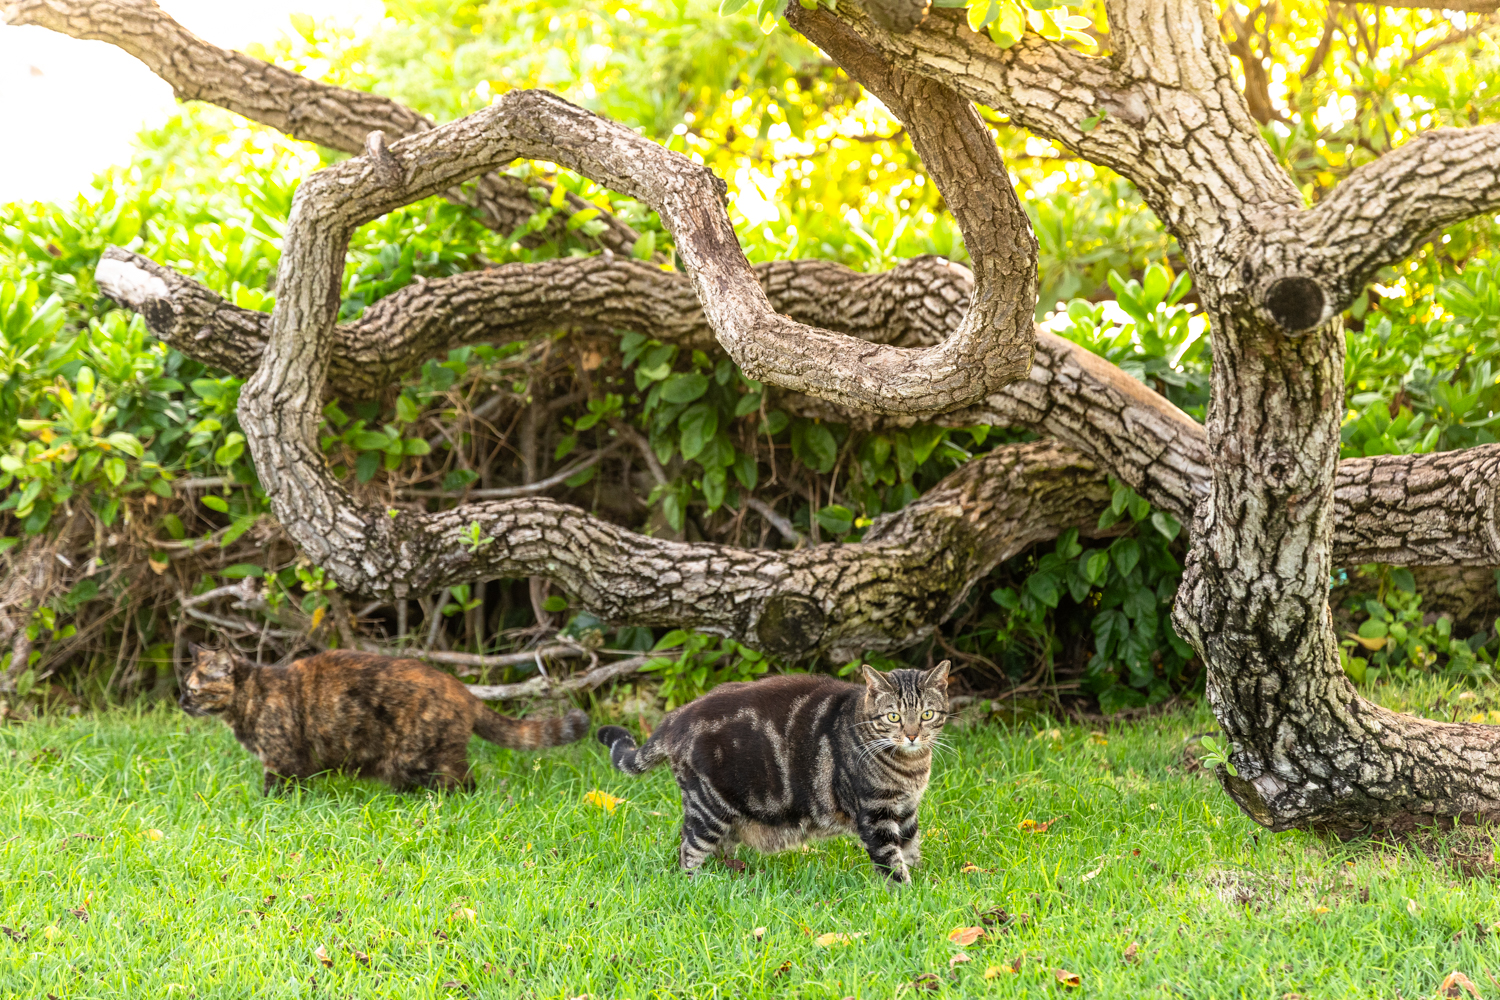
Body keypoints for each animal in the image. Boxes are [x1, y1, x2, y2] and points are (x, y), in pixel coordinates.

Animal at [178, 650, 588, 797]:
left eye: (194, 690)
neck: (251, 696)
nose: (180, 702)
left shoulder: (280, 759)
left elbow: (275, 789)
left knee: (462, 781)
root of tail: (462, 689)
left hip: (417, 756)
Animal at [597, 665, 948, 881]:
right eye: (893, 717)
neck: (911, 766)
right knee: (688, 849)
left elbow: (910, 848)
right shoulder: (876, 814)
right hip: (709, 807)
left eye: (927, 715)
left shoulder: (906, 811)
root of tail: (676, 716)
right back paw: (696, 882)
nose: (912, 735)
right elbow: (891, 862)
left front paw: (923, 883)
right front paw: (906, 895)